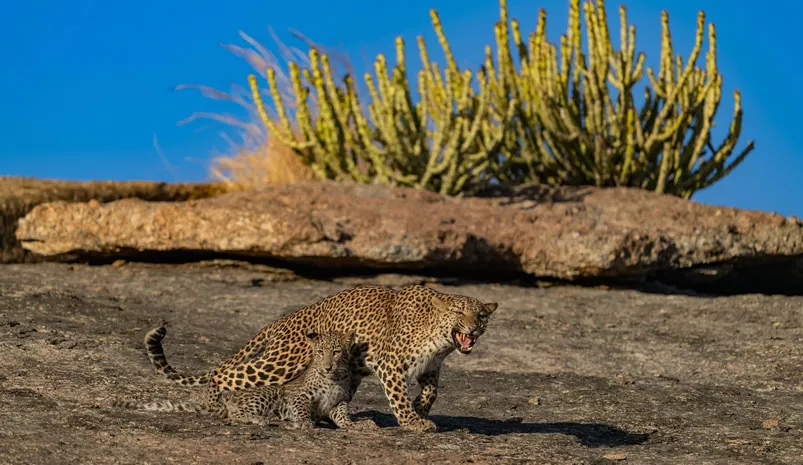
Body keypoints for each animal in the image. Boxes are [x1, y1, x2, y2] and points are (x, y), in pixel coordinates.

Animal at [116, 330, 374, 430]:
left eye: (337, 352)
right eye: (320, 353)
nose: (328, 365)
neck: (334, 378)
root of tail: (223, 402)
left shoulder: (338, 403)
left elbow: (343, 417)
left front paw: (356, 425)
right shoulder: (299, 395)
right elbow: (301, 408)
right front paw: (303, 422)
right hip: (266, 394)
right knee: (235, 414)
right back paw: (262, 419)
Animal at [144, 284, 499, 432]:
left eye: (480, 316)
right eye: (459, 313)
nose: (471, 328)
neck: (440, 338)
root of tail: (283, 320)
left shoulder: (430, 369)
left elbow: (431, 391)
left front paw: (420, 409)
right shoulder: (390, 363)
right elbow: (398, 395)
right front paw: (413, 421)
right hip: (280, 362)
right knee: (223, 374)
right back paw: (212, 404)